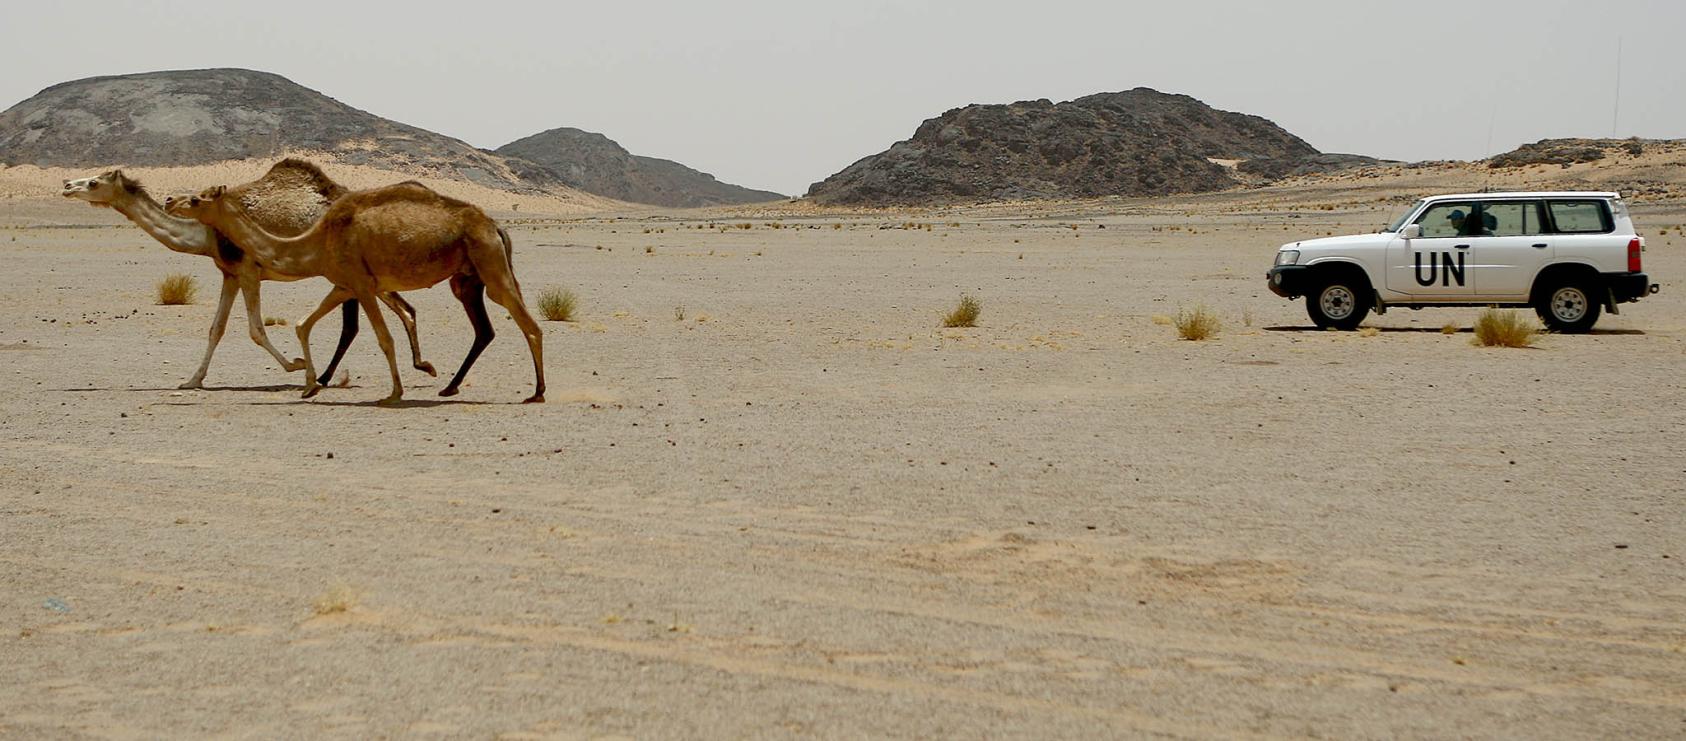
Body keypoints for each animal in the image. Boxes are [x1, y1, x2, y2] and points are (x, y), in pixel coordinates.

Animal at [63, 161, 434, 390]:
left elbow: (256, 329)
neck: (208, 235)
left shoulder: (248, 270)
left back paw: (333, 376)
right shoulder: (229, 274)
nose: (66, 185)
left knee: (369, 320)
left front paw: (295, 365)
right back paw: (416, 365)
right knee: (401, 310)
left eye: (93, 182)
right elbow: (216, 329)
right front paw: (192, 380)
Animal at [167, 180, 542, 405]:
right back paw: (451, 386)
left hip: (491, 266)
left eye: (197, 199)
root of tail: (495, 225)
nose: (170, 199)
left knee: (530, 325)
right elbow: (303, 324)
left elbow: (384, 338)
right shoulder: (343, 283)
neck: (316, 240)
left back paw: (537, 392)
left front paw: (394, 393)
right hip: (468, 278)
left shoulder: (362, 285)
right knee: (490, 328)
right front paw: (309, 383)